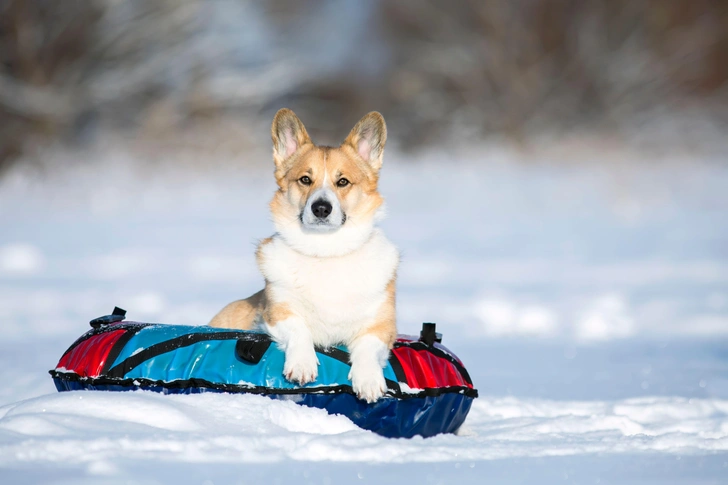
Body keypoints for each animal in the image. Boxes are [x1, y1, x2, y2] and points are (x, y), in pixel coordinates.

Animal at [208, 108, 400, 400]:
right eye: (305, 179)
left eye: (343, 181)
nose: (321, 208)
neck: (325, 251)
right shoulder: (276, 312)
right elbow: (300, 328)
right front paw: (302, 365)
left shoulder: (382, 326)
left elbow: (367, 345)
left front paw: (369, 381)